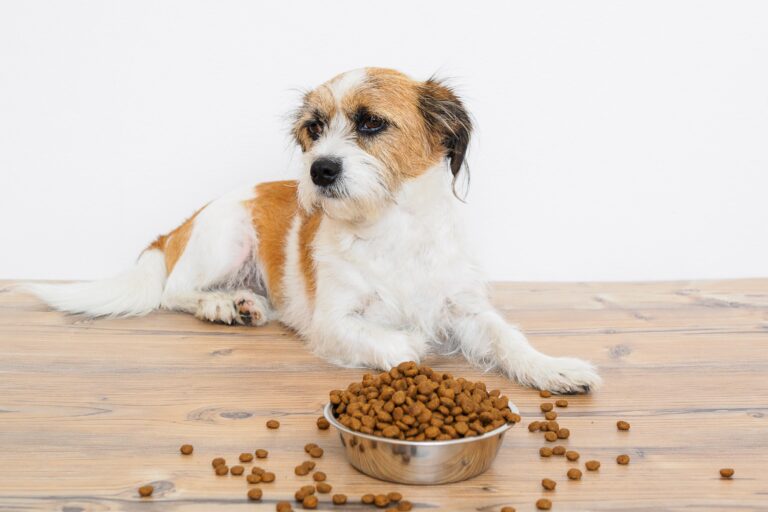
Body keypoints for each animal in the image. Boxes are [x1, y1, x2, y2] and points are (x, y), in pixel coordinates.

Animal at [25, 69, 600, 392]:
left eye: (371, 123)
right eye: (314, 128)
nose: (319, 170)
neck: (393, 229)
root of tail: (178, 227)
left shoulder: (468, 309)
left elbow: (507, 338)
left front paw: (553, 369)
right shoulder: (335, 322)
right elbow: (403, 346)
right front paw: (415, 340)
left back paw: (246, 302)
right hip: (228, 236)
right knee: (175, 291)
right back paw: (220, 303)